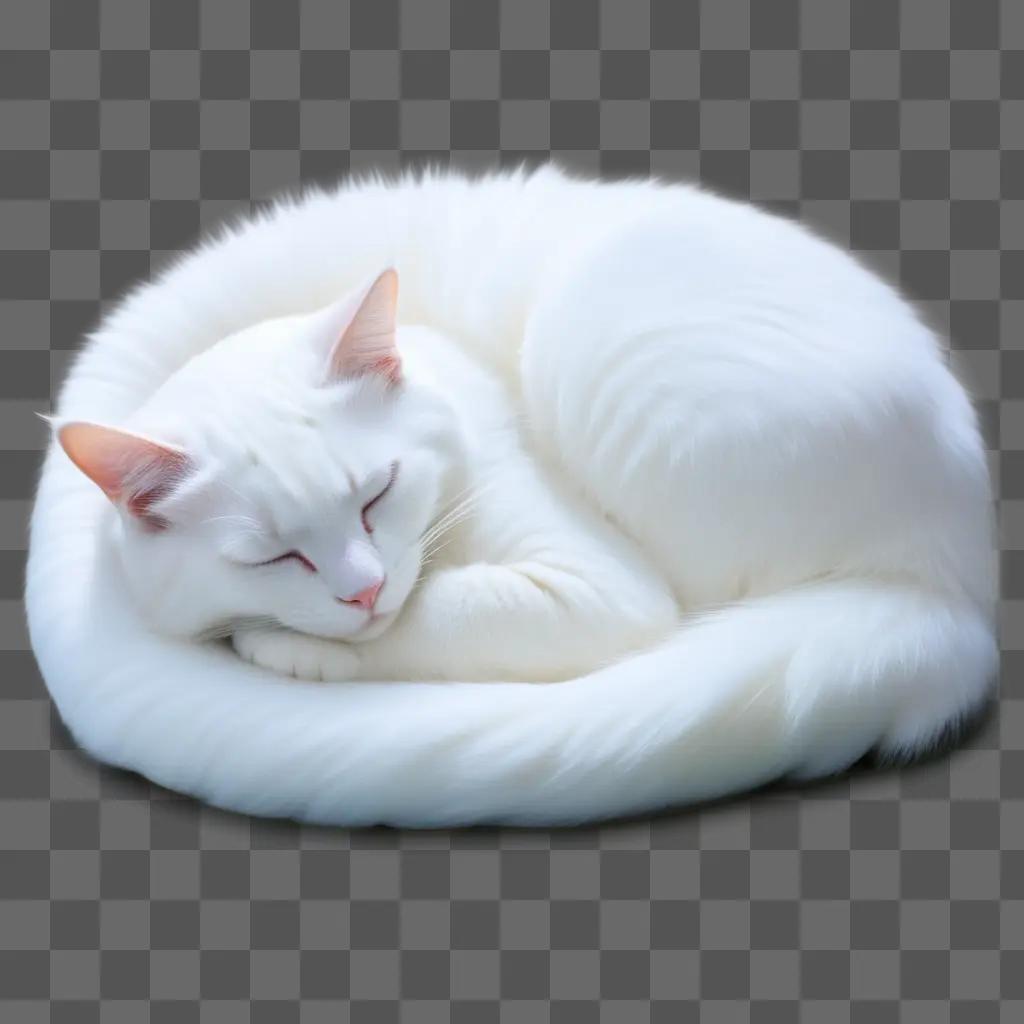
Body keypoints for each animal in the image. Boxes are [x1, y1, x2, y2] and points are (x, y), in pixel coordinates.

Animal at [25, 167, 999, 823]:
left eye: (377, 494)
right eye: (273, 556)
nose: (363, 590)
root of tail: (952, 587)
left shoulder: (590, 586)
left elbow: (437, 617)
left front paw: (291, 646)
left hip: (594, 343)